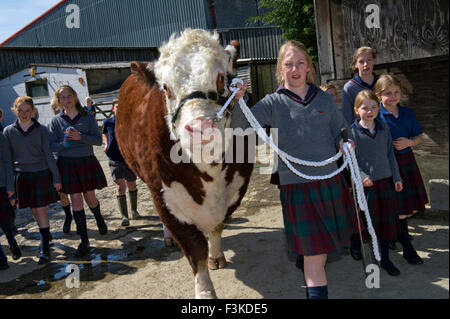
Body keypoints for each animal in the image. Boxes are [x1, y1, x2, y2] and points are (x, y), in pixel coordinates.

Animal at [116, 28, 253, 298]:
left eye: (221, 77)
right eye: (165, 88)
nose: (200, 128)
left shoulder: (236, 187)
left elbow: (217, 226)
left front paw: (216, 255)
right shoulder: (164, 196)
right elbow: (195, 249)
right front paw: (205, 292)